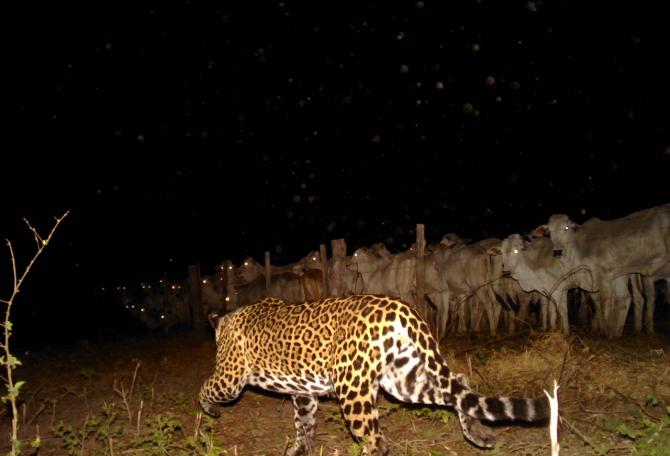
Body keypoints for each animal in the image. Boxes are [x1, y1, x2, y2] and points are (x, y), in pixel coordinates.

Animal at [199, 294, 549, 455]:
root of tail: (401, 308)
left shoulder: (230, 377)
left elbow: (205, 388)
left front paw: (210, 411)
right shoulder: (304, 395)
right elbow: (303, 424)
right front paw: (301, 448)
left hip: (353, 389)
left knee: (376, 441)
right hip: (404, 378)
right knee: (459, 383)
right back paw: (479, 434)